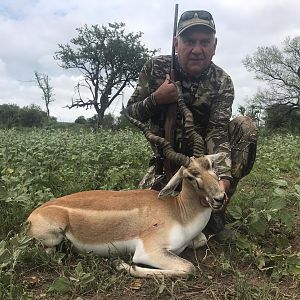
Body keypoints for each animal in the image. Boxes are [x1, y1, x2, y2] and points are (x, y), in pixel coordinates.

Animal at [27, 81, 226, 276]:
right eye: (191, 176)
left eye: (212, 166)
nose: (220, 198)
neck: (179, 212)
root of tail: (32, 216)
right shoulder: (148, 251)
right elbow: (188, 268)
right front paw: (120, 264)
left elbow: (202, 240)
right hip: (52, 239)